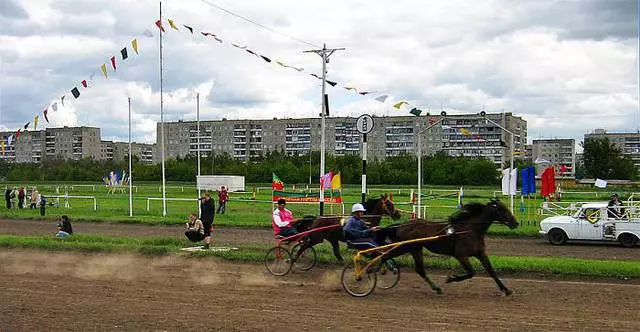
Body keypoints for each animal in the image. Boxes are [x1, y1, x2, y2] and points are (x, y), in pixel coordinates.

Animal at [376, 198, 520, 296]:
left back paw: (436, 288)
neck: (471, 230)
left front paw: (506, 290)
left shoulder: (480, 253)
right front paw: (451, 278)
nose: (516, 223)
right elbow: (471, 272)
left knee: (420, 269)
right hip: (405, 247)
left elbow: (491, 271)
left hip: (416, 248)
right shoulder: (460, 255)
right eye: (502, 209)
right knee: (384, 255)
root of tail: (401, 225)